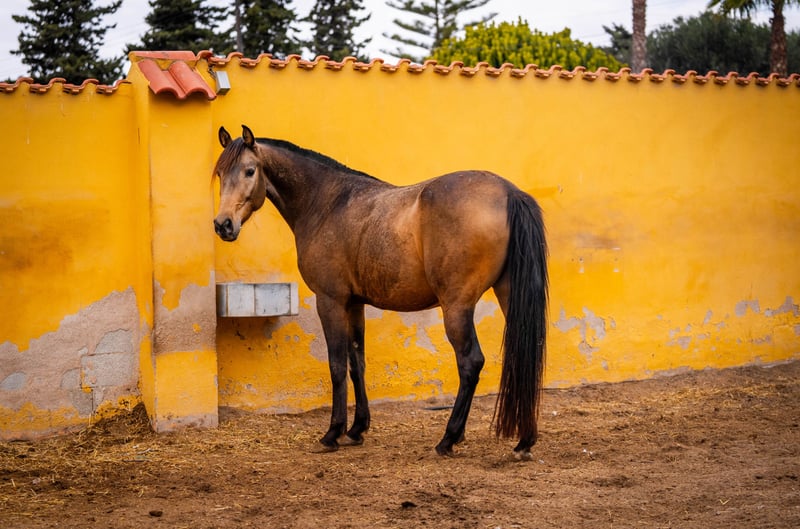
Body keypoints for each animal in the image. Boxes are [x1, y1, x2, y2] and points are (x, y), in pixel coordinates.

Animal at [212, 125, 548, 459]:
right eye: (220, 173)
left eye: (250, 171)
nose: (223, 225)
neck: (326, 203)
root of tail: (509, 192)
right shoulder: (354, 304)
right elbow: (356, 362)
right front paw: (357, 428)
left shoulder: (330, 301)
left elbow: (337, 365)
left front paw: (333, 433)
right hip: (507, 296)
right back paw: (523, 441)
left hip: (456, 306)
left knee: (470, 362)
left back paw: (449, 438)